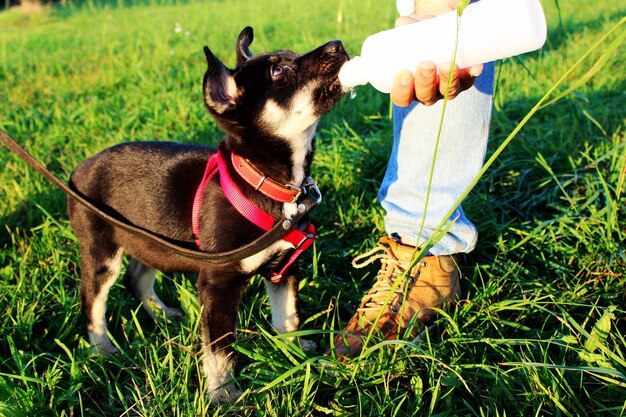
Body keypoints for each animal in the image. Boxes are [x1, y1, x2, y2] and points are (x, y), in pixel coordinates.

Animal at [70, 26, 348, 404]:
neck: (264, 182)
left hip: (149, 237)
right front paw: (224, 392)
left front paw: (300, 356)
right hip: (101, 253)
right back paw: (103, 350)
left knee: (137, 276)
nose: (338, 44)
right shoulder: (218, 284)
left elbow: (287, 319)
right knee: (93, 303)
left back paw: (162, 314)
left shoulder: (283, 269)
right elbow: (220, 347)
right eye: (279, 72)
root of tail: (77, 172)